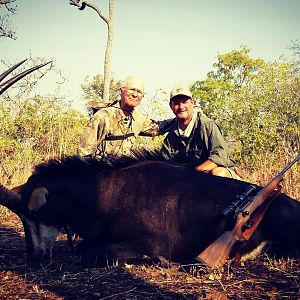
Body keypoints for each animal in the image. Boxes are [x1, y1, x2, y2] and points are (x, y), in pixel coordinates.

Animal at [0, 155, 298, 268]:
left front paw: (161, 262)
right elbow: (85, 247)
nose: (34, 255)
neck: (108, 193)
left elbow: (92, 253)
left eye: (32, 213)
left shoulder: (150, 242)